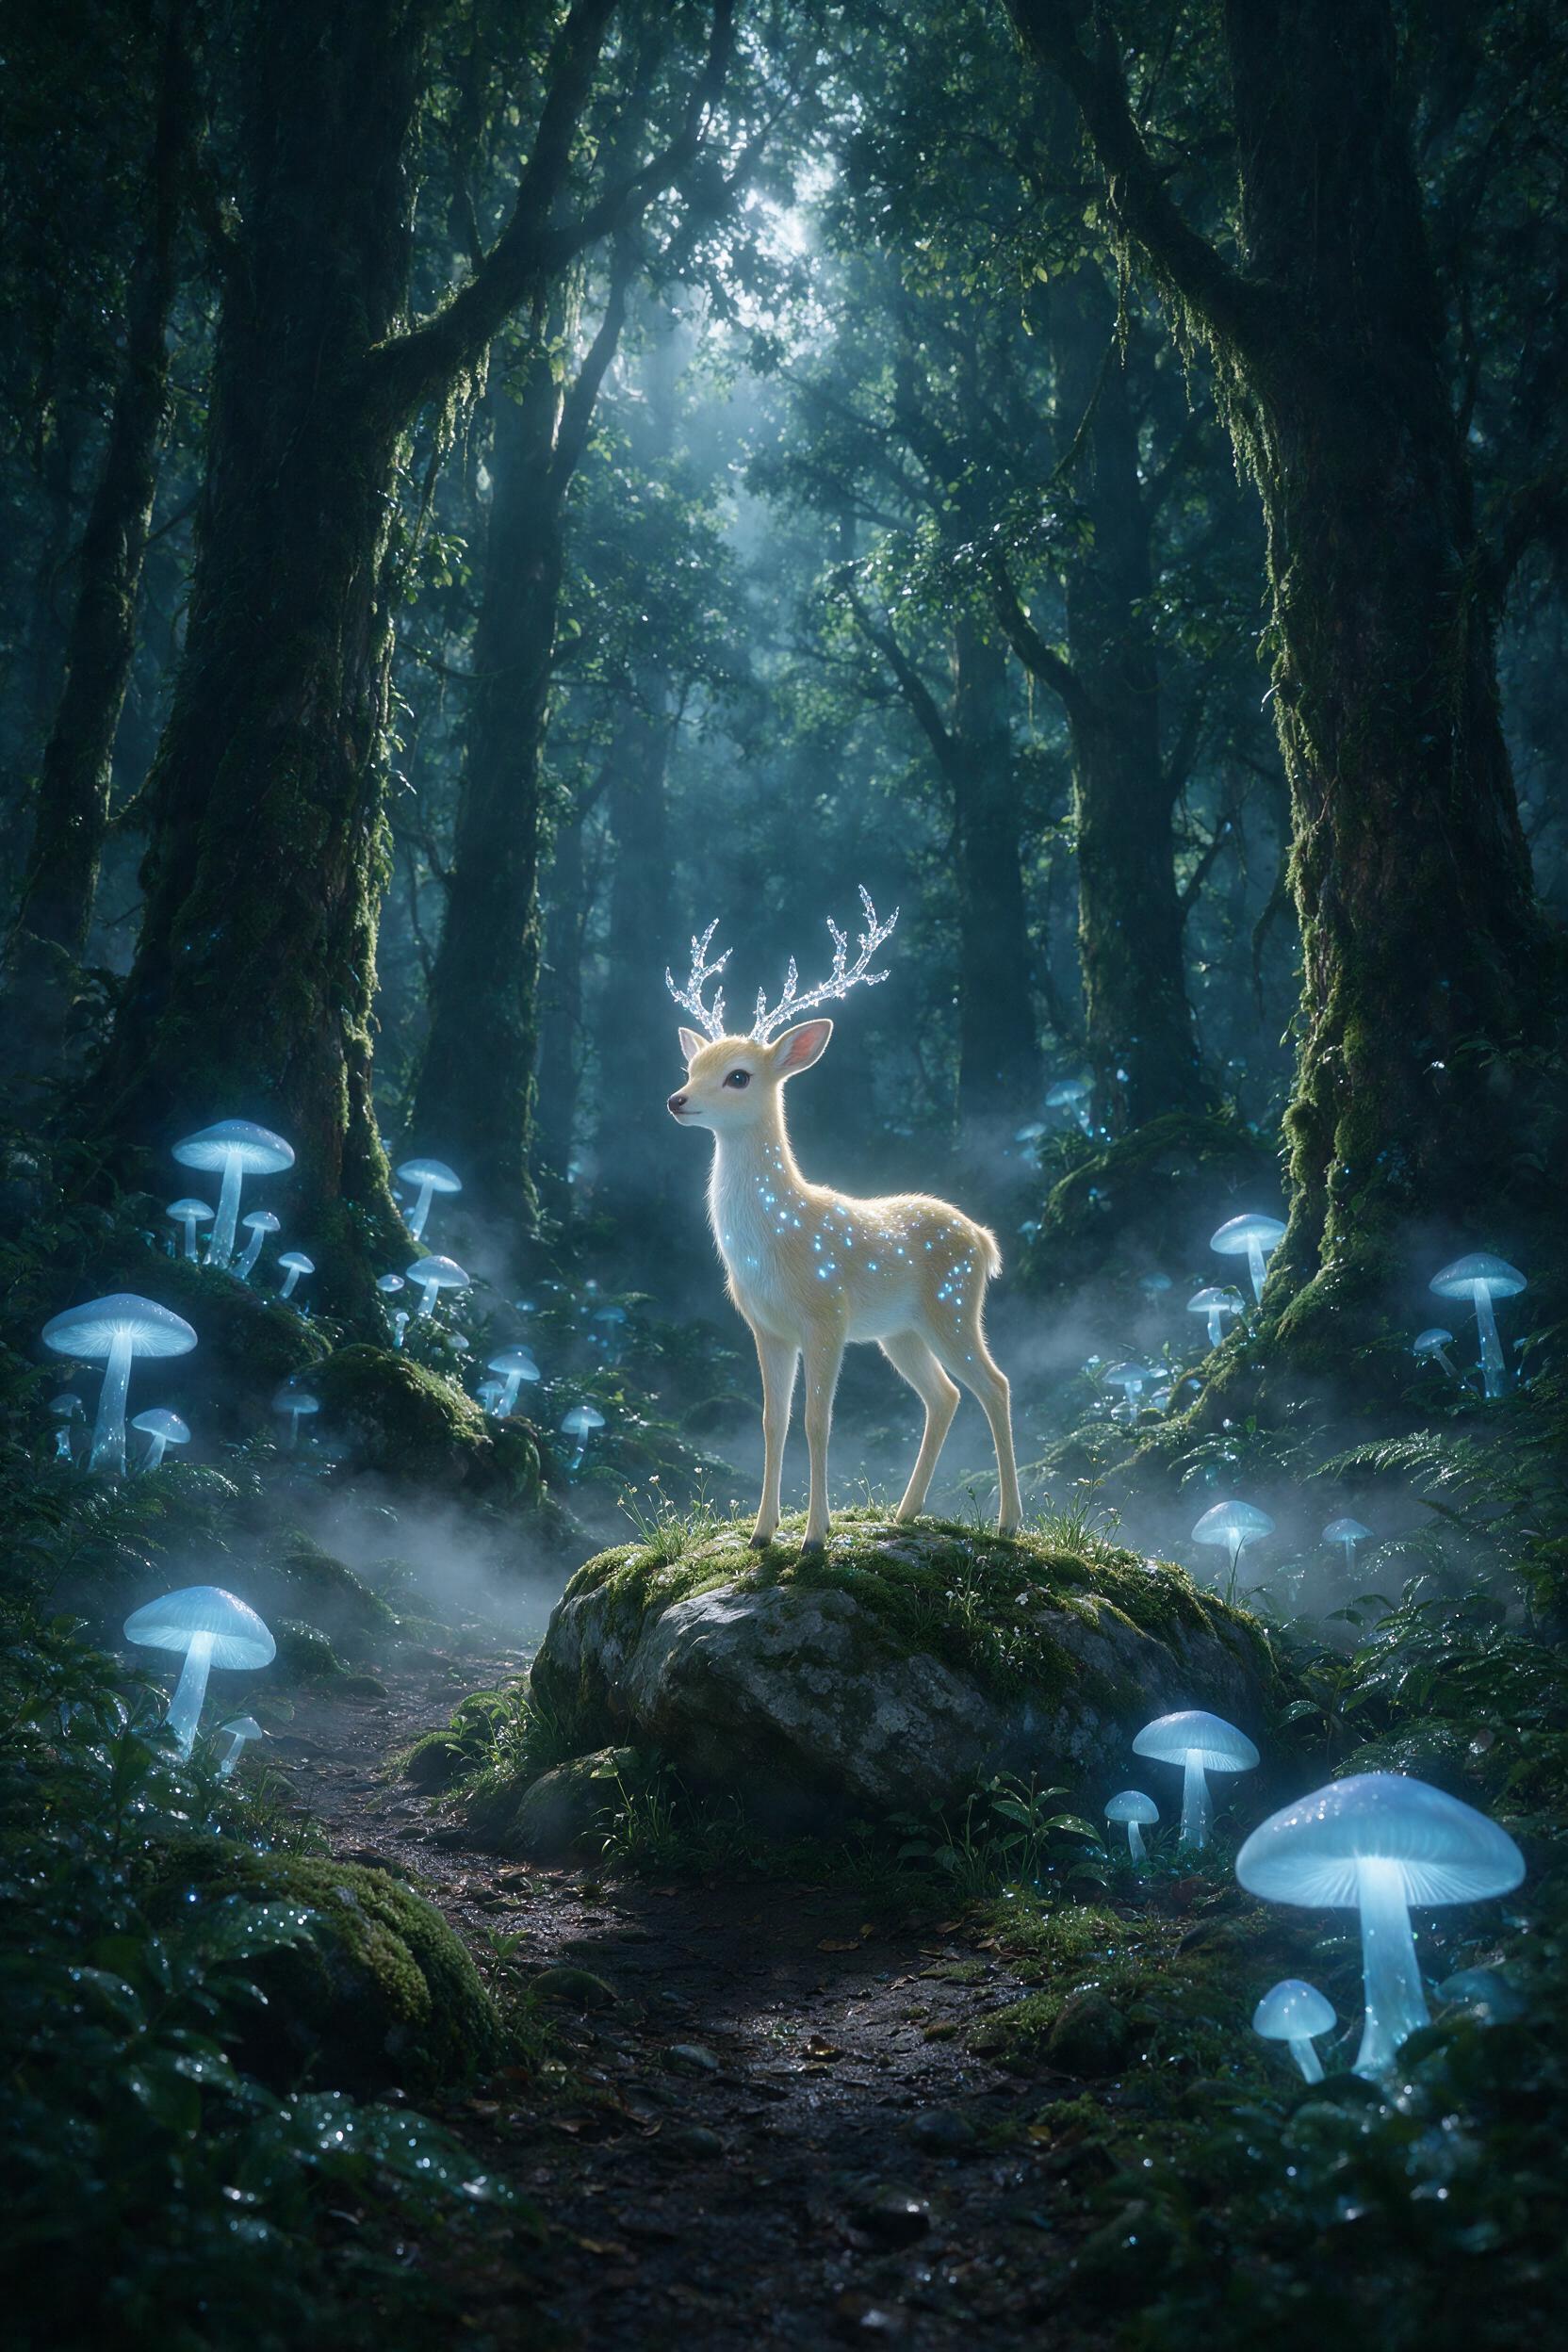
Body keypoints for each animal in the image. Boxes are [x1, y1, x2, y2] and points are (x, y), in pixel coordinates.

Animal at [666, 889, 1022, 1555]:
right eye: (691, 1066)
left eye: (738, 1076)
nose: (676, 1100)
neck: (775, 1240)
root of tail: (984, 1241)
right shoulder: (767, 1326)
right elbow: (772, 1421)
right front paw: (762, 1534)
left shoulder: (825, 1314)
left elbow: (817, 1421)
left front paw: (814, 1537)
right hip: (900, 1331)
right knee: (944, 1395)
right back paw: (906, 1513)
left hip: (952, 1306)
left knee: (994, 1385)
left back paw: (1010, 1523)